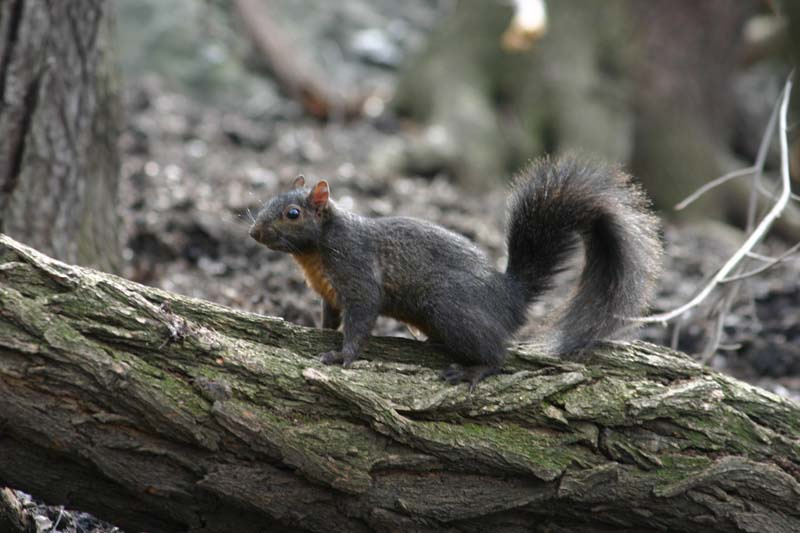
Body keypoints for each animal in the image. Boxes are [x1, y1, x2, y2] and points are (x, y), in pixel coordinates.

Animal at [249, 155, 662, 387]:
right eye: (270, 199)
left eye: (293, 214)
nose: (254, 232)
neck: (316, 251)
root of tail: (509, 297)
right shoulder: (330, 294)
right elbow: (330, 319)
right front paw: (317, 332)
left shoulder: (358, 273)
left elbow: (361, 319)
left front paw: (342, 356)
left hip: (451, 310)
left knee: (497, 354)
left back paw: (471, 372)